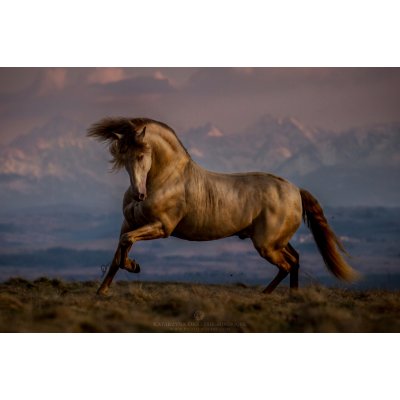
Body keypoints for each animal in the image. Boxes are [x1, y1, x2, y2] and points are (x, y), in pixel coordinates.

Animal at [87, 115, 360, 294]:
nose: (138, 194)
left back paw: (266, 296)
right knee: (296, 259)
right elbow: (118, 253)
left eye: (142, 155)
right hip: (277, 241)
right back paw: (288, 297)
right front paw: (102, 292)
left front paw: (133, 266)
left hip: (267, 244)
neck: (166, 179)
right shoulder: (129, 223)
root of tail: (296, 191)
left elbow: (125, 246)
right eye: (123, 158)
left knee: (288, 264)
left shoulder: (161, 227)